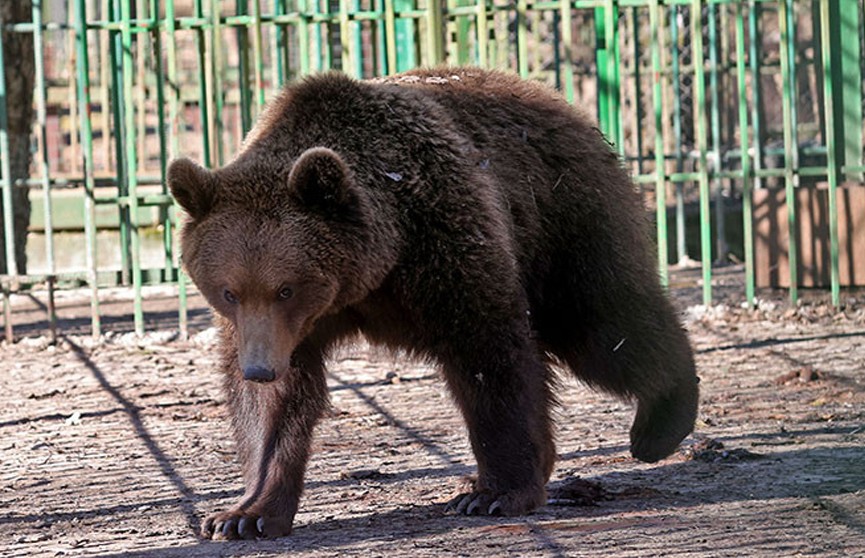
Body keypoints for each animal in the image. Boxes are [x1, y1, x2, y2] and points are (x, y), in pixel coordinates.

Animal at [167, 66, 696, 544]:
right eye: (229, 290)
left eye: (286, 288)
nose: (259, 368)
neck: (371, 269)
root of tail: (554, 98)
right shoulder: (282, 329)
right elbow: (276, 408)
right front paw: (243, 515)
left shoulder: (441, 238)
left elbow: (489, 353)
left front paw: (493, 492)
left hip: (563, 218)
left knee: (606, 327)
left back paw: (661, 423)